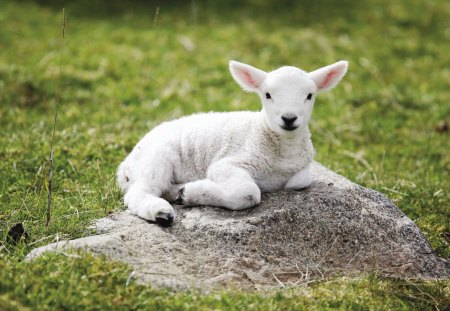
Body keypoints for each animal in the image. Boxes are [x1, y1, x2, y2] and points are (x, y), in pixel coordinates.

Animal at [116, 60, 348, 227]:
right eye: (267, 95)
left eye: (309, 96)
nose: (289, 118)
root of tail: (125, 165)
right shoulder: (227, 164)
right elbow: (249, 193)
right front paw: (192, 193)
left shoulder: (301, 172)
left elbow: (300, 181)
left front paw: (189, 192)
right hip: (155, 159)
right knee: (139, 192)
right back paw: (160, 212)